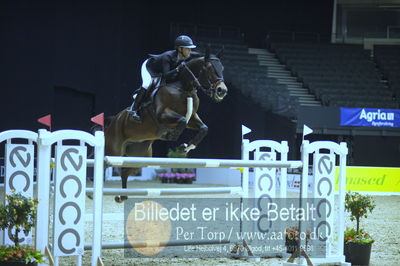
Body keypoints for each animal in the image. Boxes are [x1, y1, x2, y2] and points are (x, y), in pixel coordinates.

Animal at [104, 47, 228, 202]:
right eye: (209, 68)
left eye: (222, 68)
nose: (222, 91)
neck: (184, 87)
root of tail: (114, 120)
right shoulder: (162, 115)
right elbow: (181, 120)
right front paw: (171, 136)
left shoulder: (192, 117)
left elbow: (203, 128)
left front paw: (185, 147)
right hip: (114, 150)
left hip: (140, 156)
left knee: (125, 170)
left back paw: (122, 197)